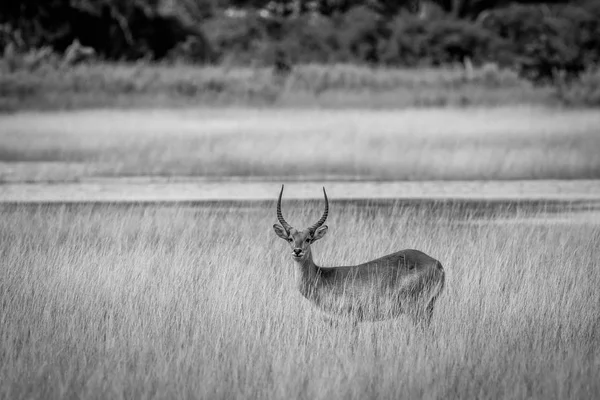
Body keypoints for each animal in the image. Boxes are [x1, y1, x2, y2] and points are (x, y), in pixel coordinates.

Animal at [274, 184, 442, 324]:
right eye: (290, 238)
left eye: (308, 239)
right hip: (428, 309)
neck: (322, 276)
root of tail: (437, 264)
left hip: (416, 310)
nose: (297, 251)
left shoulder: (350, 319)